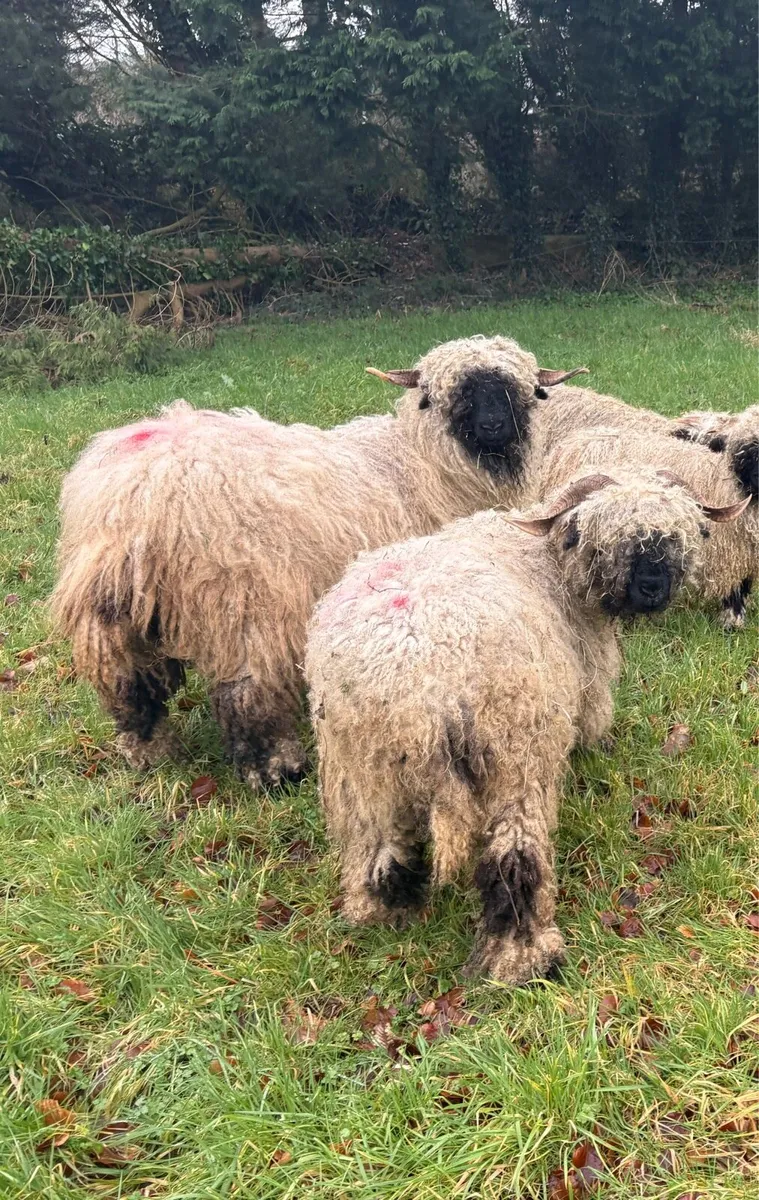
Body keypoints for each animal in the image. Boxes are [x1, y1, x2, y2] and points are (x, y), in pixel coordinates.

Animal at [51, 336, 586, 790]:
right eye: (447, 395)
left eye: (527, 392)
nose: (495, 427)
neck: (416, 464)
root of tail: (137, 499)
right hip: (244, 603)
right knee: (247, 694)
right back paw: (276, 770)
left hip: (108, 617)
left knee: (129, 686)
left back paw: (148, 754)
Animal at [305, 470, 748, 984]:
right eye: (602, 540)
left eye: (680, 535)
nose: (652, 588)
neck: (551, 562)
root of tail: (418, 680)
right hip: (514, 755)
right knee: (515, 862)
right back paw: (527, 958)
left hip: (361, 766)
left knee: (378, 842)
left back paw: (382, 911)